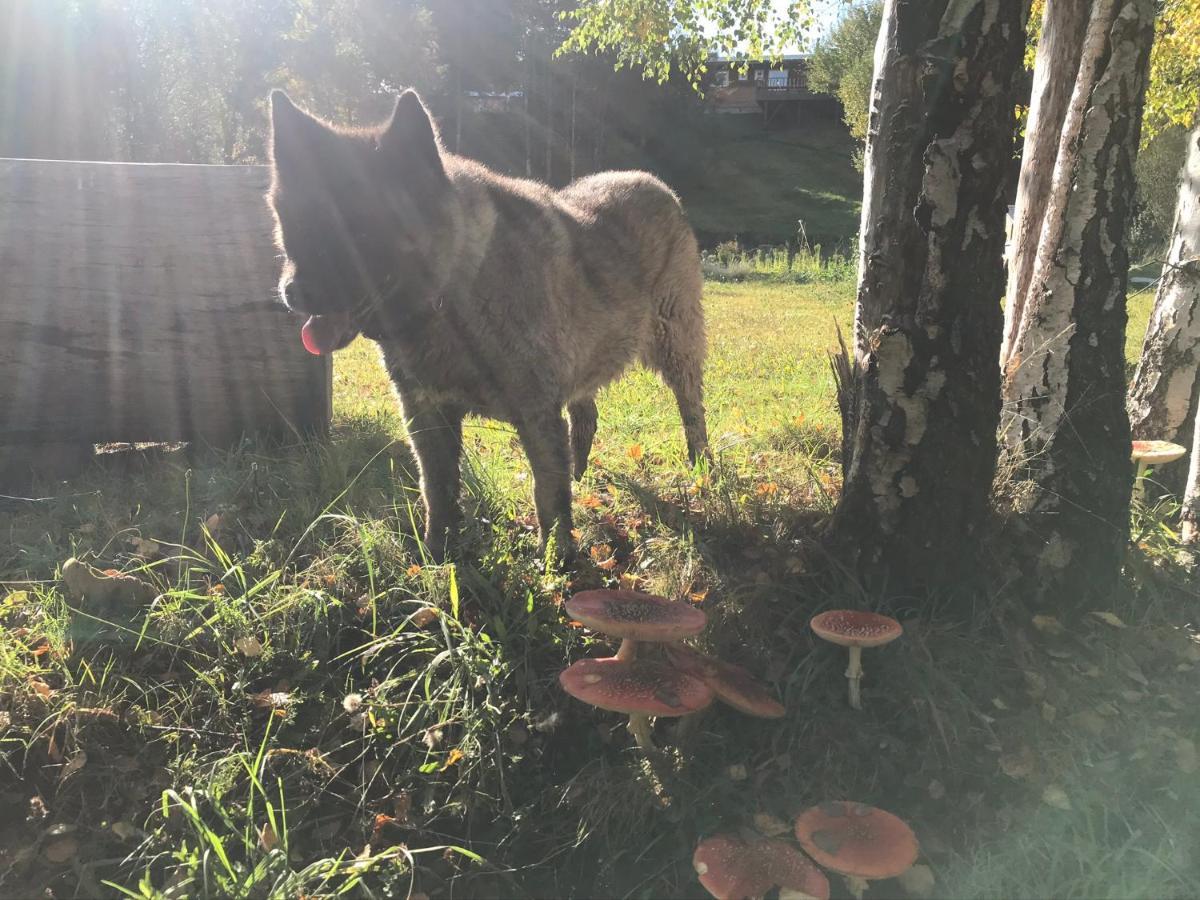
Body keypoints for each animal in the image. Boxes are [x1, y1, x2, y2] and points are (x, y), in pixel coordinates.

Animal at [267, 90, 705, 556]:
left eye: (359, 229)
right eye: (295, 224)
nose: (293, 292)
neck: (454, 295)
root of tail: (655, 184)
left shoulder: (537, 415)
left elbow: (548, 495)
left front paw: (559, 561)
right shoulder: (428, 416)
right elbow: (437, 490)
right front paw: (439, 555)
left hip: (677, 349)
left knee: (692, 412)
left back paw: (702, 472)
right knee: (585, 412)